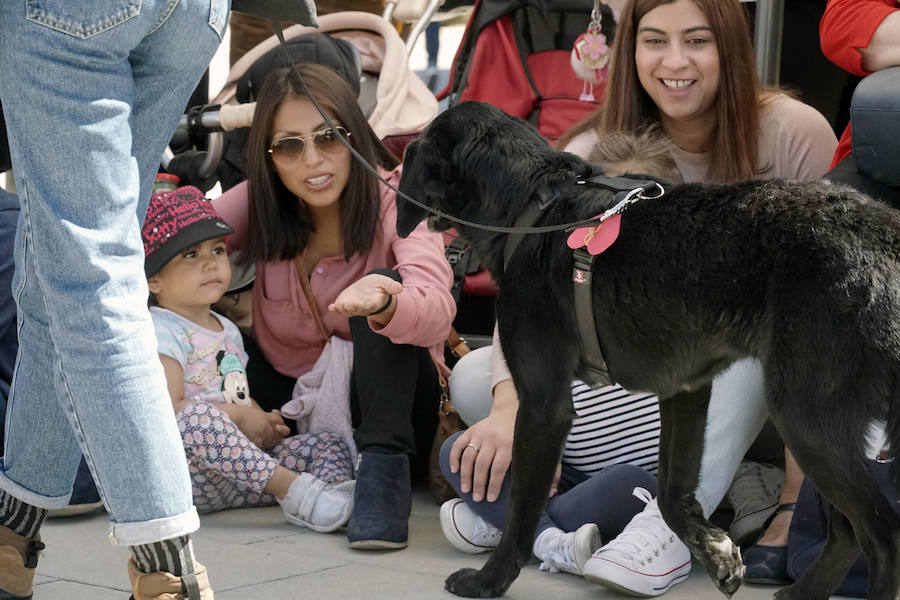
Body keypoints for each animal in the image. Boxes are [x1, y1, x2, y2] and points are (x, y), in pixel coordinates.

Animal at [398, 101, 900, 596]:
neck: (535, 208)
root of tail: (882, 234)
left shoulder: (543, 405)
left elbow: (521, 509)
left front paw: (490, 580)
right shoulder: (686, 389)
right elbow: (672, 495)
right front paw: (716, 551)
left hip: (805, 417)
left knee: (880, 535)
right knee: (846, 530)